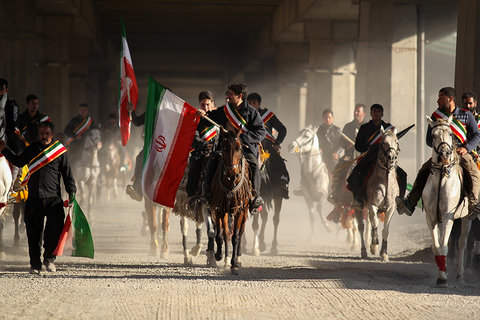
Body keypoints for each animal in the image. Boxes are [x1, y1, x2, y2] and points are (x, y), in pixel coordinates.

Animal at [211, 129, 253, 274]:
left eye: (239, 148)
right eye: (224, 147)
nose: (232, 173)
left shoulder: (240, 211)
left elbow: (236, 237)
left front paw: (234, 264)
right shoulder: (220, 209)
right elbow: (221, 234)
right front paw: (219, 255)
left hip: (244, 212)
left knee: (240, 233)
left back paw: (238, 259)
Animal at [358, 126, 400, 262]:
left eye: (396, 142)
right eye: (383, 143)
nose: (391, 157)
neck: (384, 181)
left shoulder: (391, 207)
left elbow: (385, 230)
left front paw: (384, 254)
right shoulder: (372, 205)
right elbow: (375, 224)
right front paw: (373, 247)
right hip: (358, 206)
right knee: (362, 227)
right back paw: (364, 250)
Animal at [424, 116, 472, 286]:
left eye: (450, 134)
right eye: (433, 135)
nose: (445, 154)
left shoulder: (447, 216)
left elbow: (444, 246)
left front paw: (443, 278)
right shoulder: (431, 217)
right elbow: (436, 246)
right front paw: (441, 273)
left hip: (466, 218)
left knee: (462, 243)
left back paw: (460, 275)